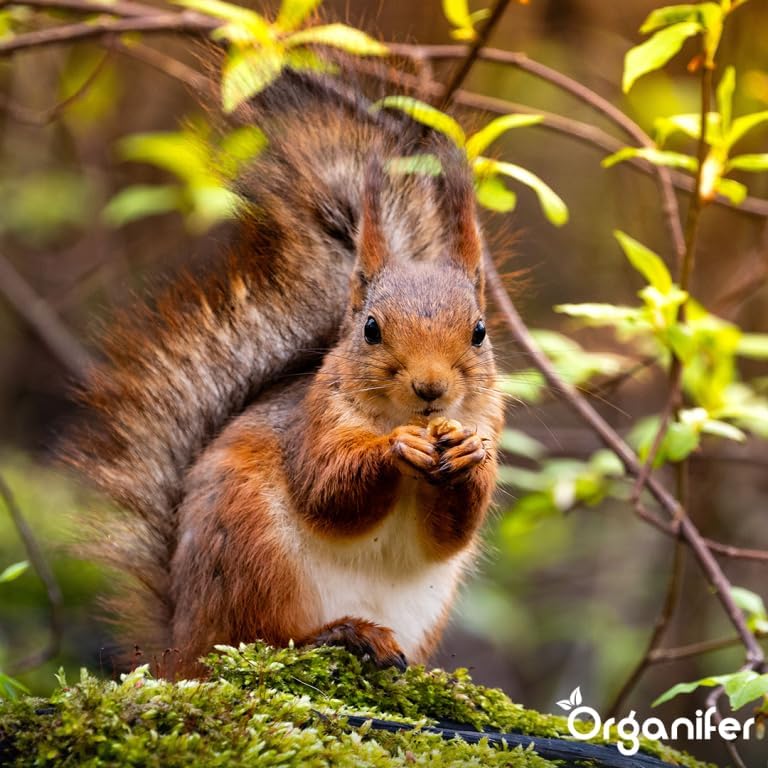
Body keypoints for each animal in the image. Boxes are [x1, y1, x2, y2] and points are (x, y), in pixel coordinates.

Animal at [63, 70, 505, 678]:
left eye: (480, 331)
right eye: (371, 329)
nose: (430, 388)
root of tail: (181, 644)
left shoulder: (490, 419)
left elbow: (453, 531)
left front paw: (465, 455)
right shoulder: (314, 422)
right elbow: (327, 490)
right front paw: (398, 445)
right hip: (254, 553)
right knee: (266, 638)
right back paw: (343, 633)